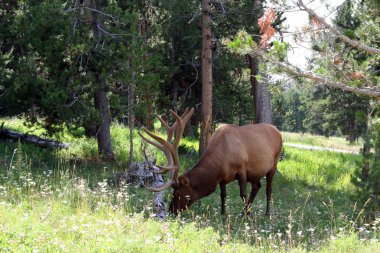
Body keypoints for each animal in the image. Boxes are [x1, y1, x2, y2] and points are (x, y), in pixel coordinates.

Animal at [140, 107, 282, 216]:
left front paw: (246, 216)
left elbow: (242, 194)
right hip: (255, 173)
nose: (171, 210)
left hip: (274, 163)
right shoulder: (223, 178)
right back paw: (246, 211)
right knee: (257, 186)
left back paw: (266, 213)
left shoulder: (242, 169)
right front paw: (223, 213)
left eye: (178, 193)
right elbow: (223, 195)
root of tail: (278, 131)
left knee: (268, 189)